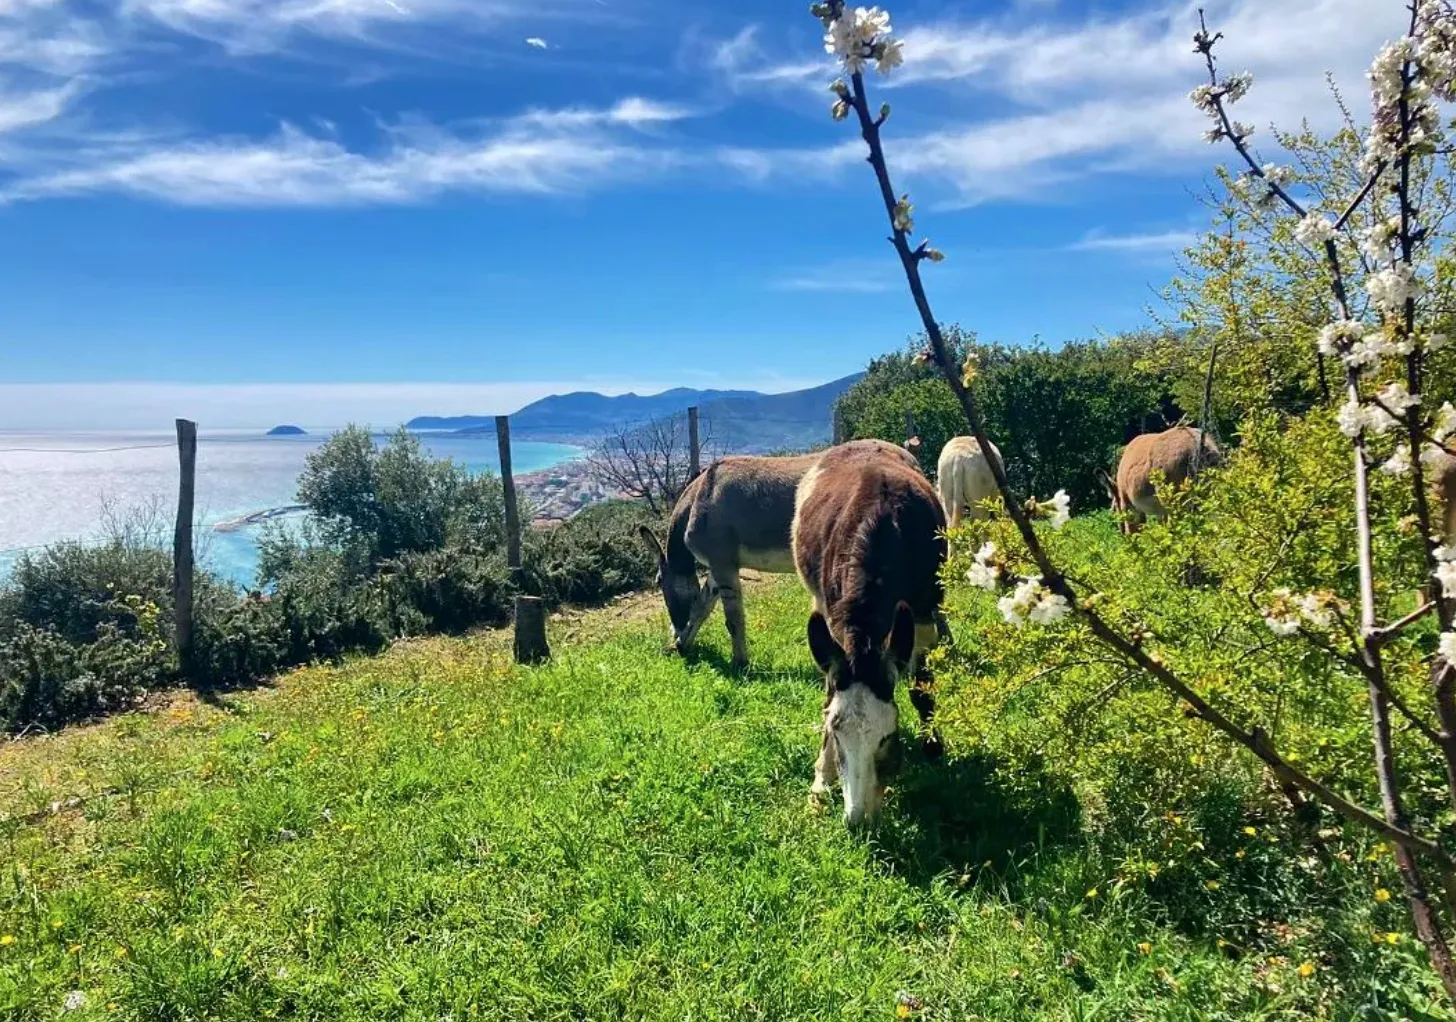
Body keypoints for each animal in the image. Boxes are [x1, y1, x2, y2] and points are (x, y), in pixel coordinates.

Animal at [792, 439, 947, 827]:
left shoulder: (922, 614)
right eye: (835, 732)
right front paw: (822, 780)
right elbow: (828, 692)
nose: (858, 820)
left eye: (888, 737)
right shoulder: (834, 618)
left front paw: (933, 748)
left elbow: (922, 690)